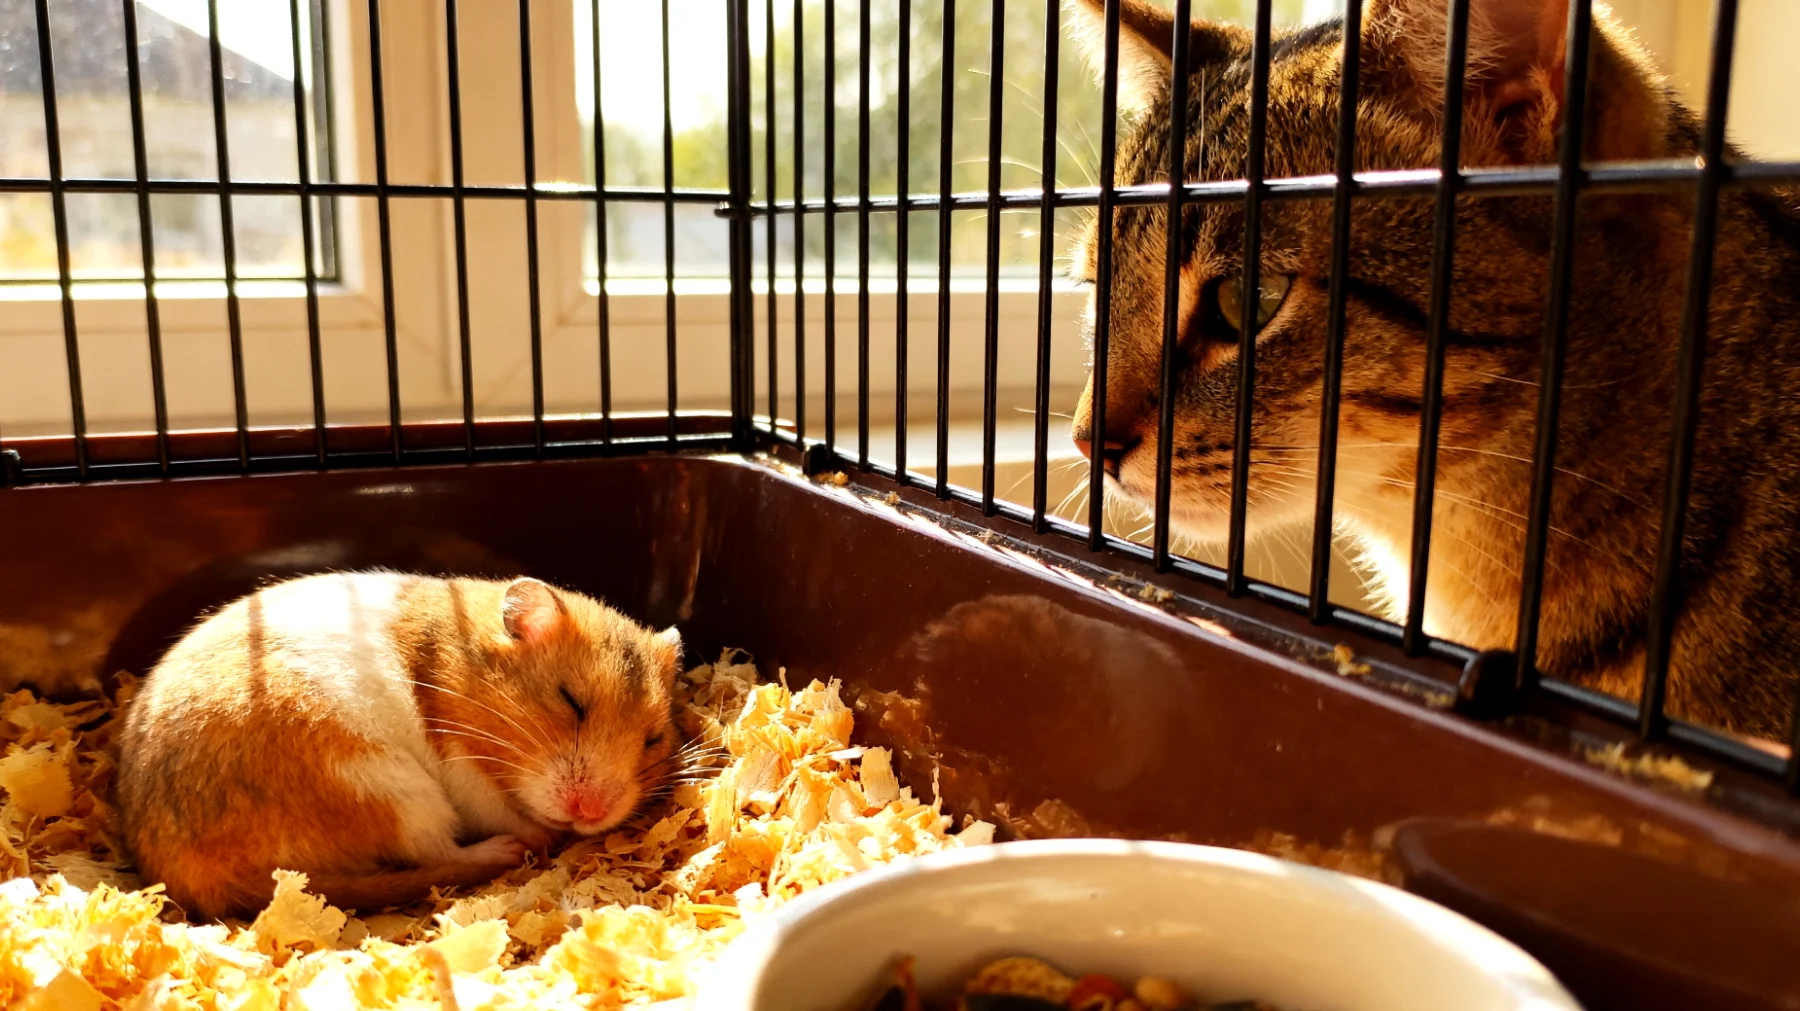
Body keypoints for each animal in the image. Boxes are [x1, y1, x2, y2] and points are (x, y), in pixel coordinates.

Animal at [116, 572, 682, 919]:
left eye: (653, 739)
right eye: (571, 702)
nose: (591, 813)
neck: (460, 664)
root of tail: (189, 878)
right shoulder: (460, 762)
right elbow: (498, 809)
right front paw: (542, 834)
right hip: (386, 788)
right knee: (434, 851)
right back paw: (511, 849)